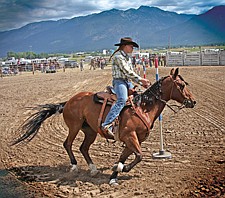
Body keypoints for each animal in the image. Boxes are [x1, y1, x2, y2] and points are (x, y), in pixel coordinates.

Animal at [12, 68, 195, 186]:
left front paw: (114, 175)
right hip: (74, 126)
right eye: (182, 85)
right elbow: (139, 156)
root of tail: (68, 101)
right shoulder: (130, 136)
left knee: (83, 147)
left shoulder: (133, 140)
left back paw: (93, 169)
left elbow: (125, 157)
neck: (143, 107)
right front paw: (121, 168)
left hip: (90, 131)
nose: (193, 101)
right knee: (68, 144)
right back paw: (74, 166)